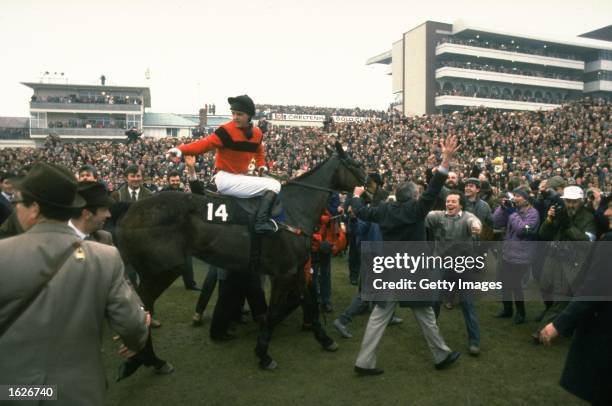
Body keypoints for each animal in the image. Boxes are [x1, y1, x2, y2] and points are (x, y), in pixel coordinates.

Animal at [115, 142, 366, 378]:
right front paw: (263, 354)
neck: (294, 210)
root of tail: (130, 211)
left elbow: (310, 304)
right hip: (162, 271)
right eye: (356, 164)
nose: (371, 185)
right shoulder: (283, 273)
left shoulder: (296, 270)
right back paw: (151, 360)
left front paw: (325, 339)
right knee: (143, 308)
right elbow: (273, 312)